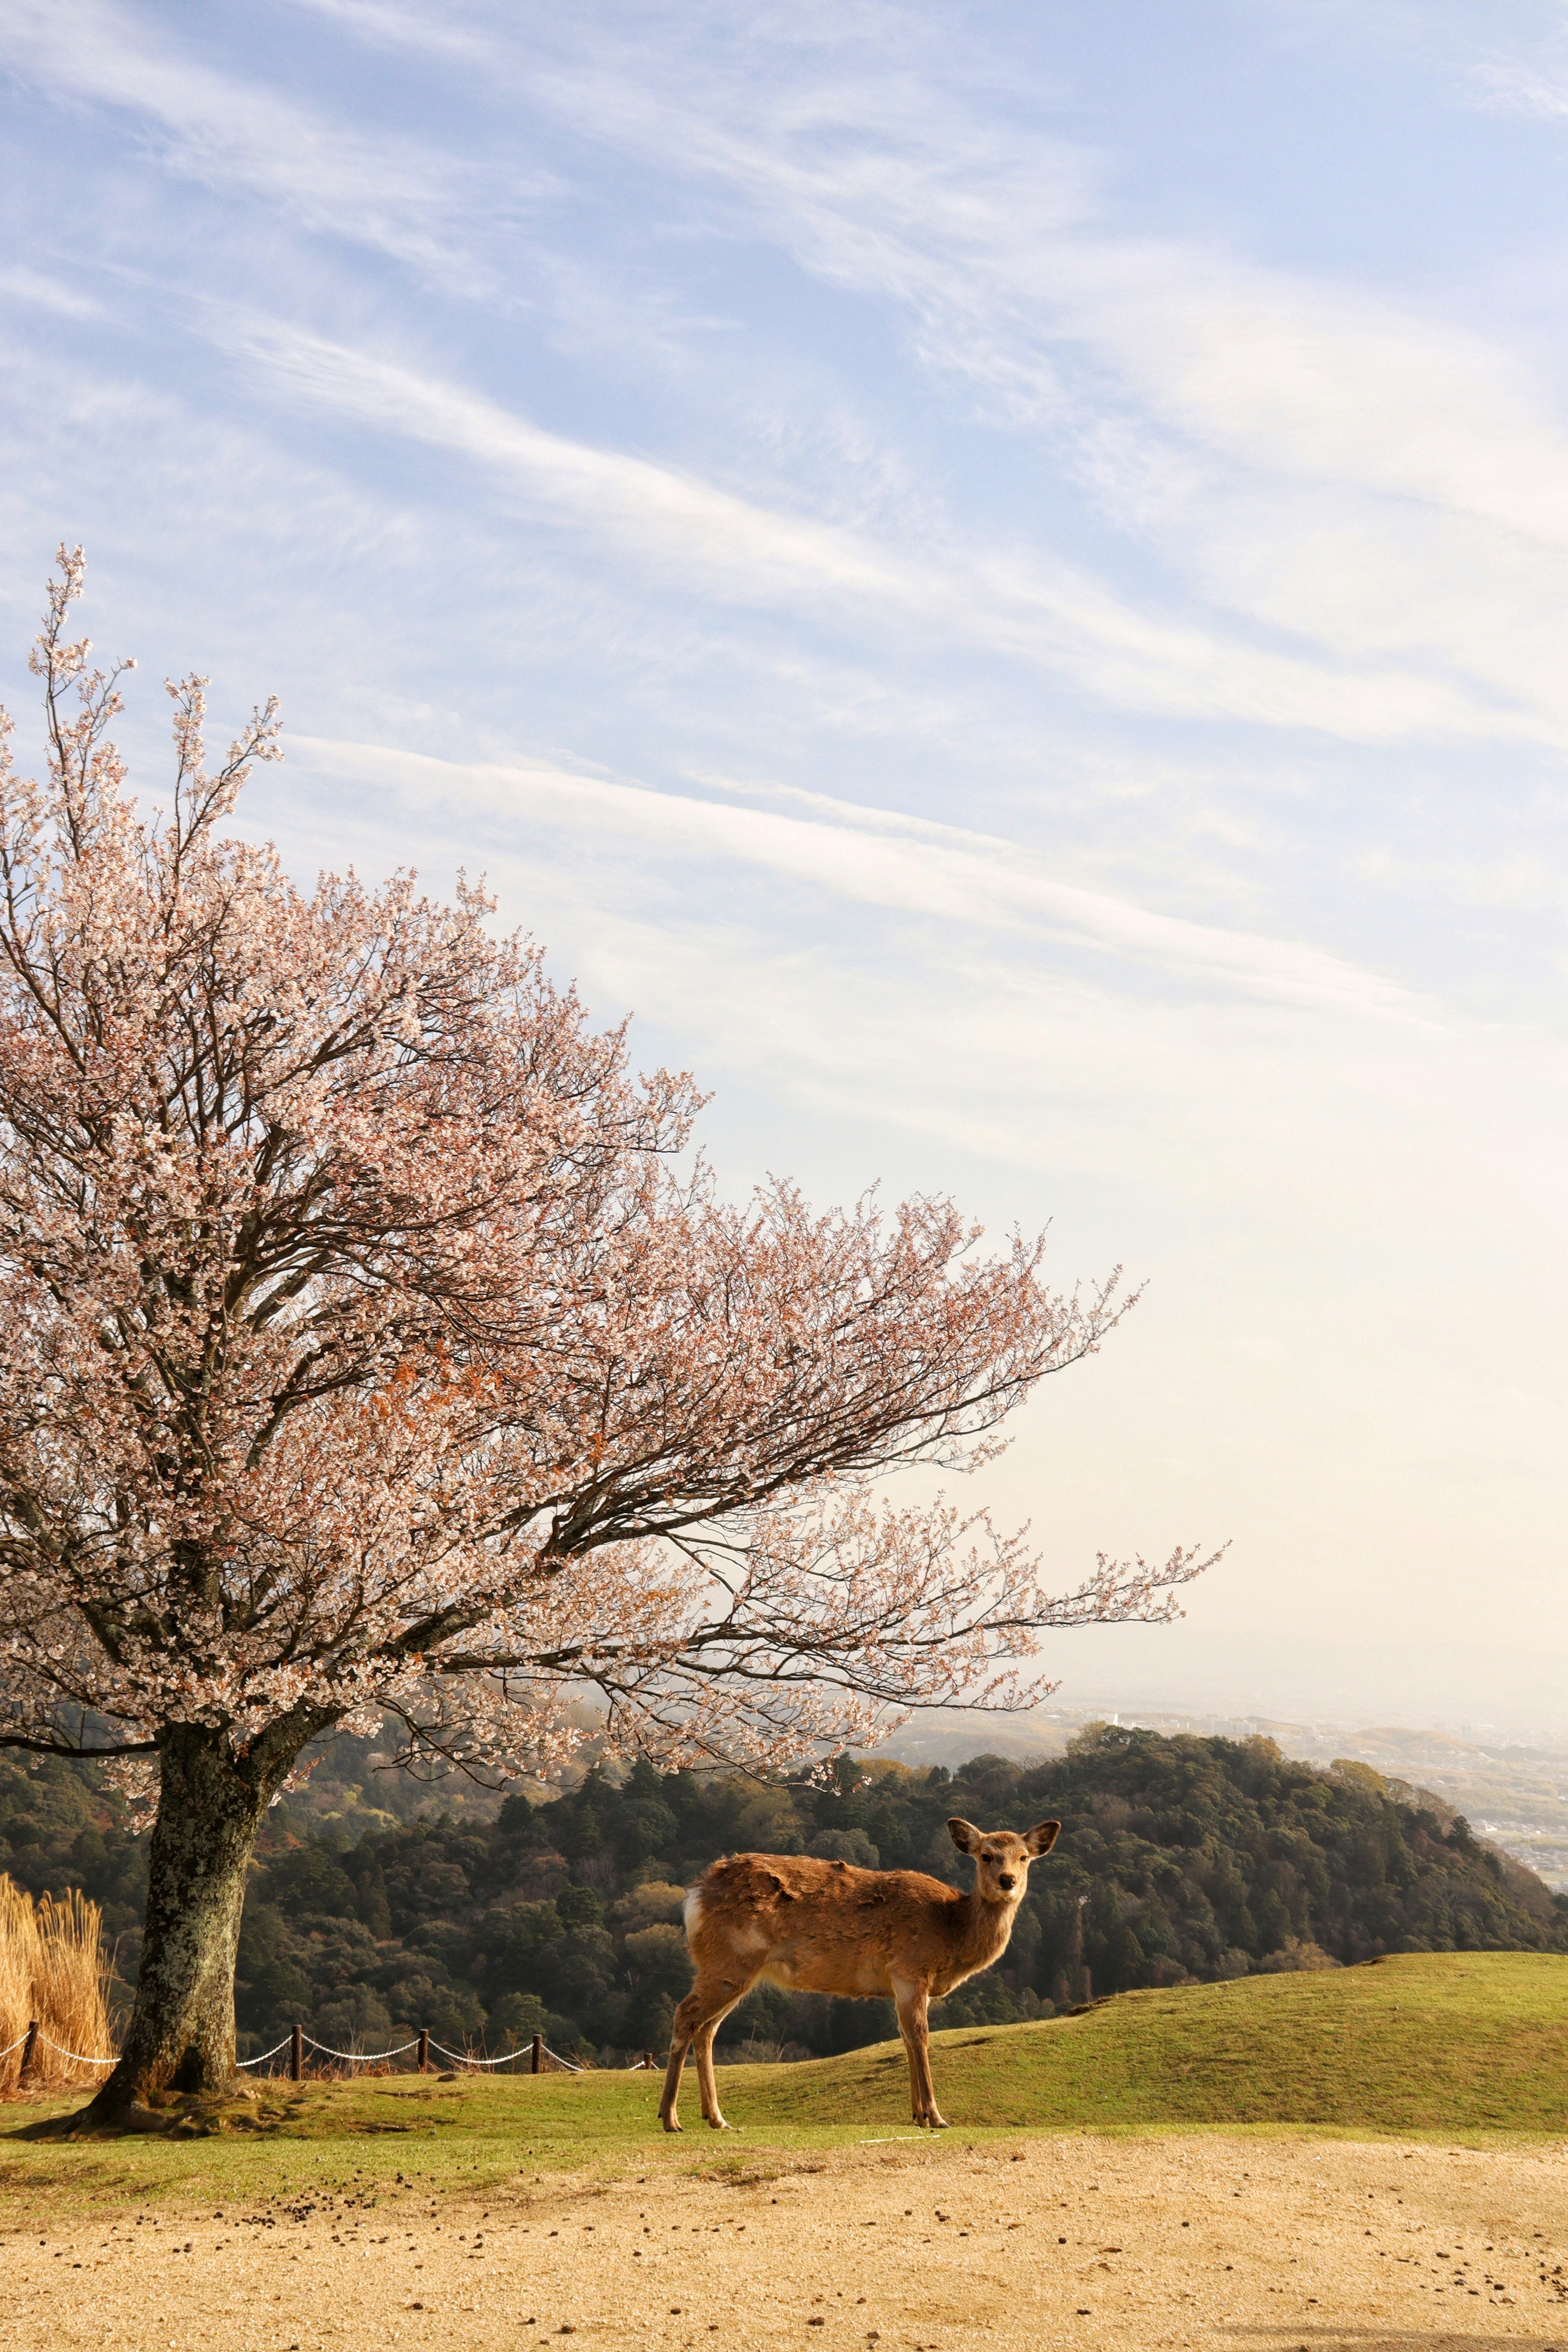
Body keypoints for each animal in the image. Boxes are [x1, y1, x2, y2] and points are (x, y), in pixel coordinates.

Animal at [658, 1815, 1062, 2136]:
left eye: (1024, 1857)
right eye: (986, 1856)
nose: (1008, 1881)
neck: (951, 1930)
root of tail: (695, 1896)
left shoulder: (901, 1985)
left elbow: (905, 2039)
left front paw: (917, 2115)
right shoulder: (909, 1969)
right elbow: (921, 2037)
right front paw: (936, 2116)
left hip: (737, 1971)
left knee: (707, 2029)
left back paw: (717, 2119)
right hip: (731, 1959)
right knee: (686, 2015)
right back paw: (671, 2118)